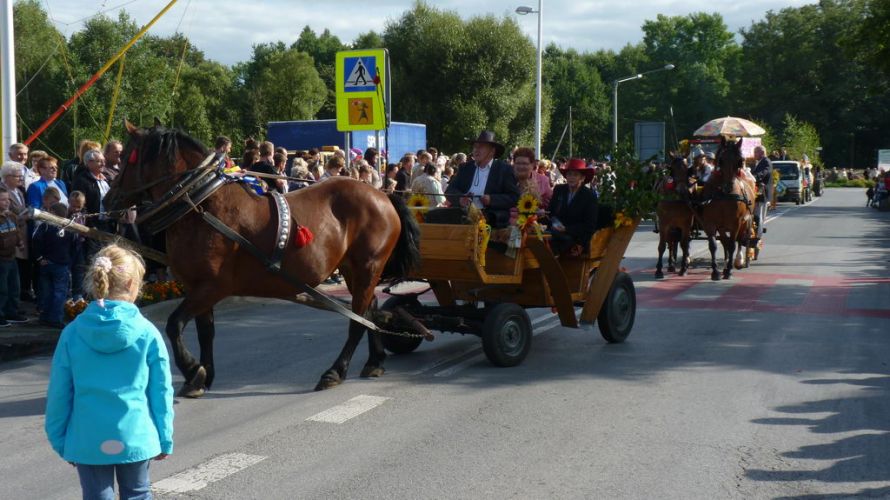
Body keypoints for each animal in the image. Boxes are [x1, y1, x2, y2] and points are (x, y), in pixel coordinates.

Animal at [105, 123, 420, 396]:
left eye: (128, 157)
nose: (109, 200)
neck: (203, 207)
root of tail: (383, 195)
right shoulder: (197, 287)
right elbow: (205, 331)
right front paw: (203, 375)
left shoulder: (212, 287)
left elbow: (174, 324)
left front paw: (193, 370)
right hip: (353, 268)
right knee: (368, 310)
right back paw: (374, 361)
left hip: (369, 265)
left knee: (358, 318)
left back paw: (335, 371)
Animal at [700, 137, 748, 282]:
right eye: (721, 160)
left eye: (739, 161)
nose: (728, 187)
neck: (724, 195)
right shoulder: (710, 223)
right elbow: (713, 245)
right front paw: (715, 271)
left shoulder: (736, 223)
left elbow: (732, 244)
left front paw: (729, 271)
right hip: (721, 226)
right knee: (724, 242)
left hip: (744, 222)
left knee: (740, 240)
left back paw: (738, 261)